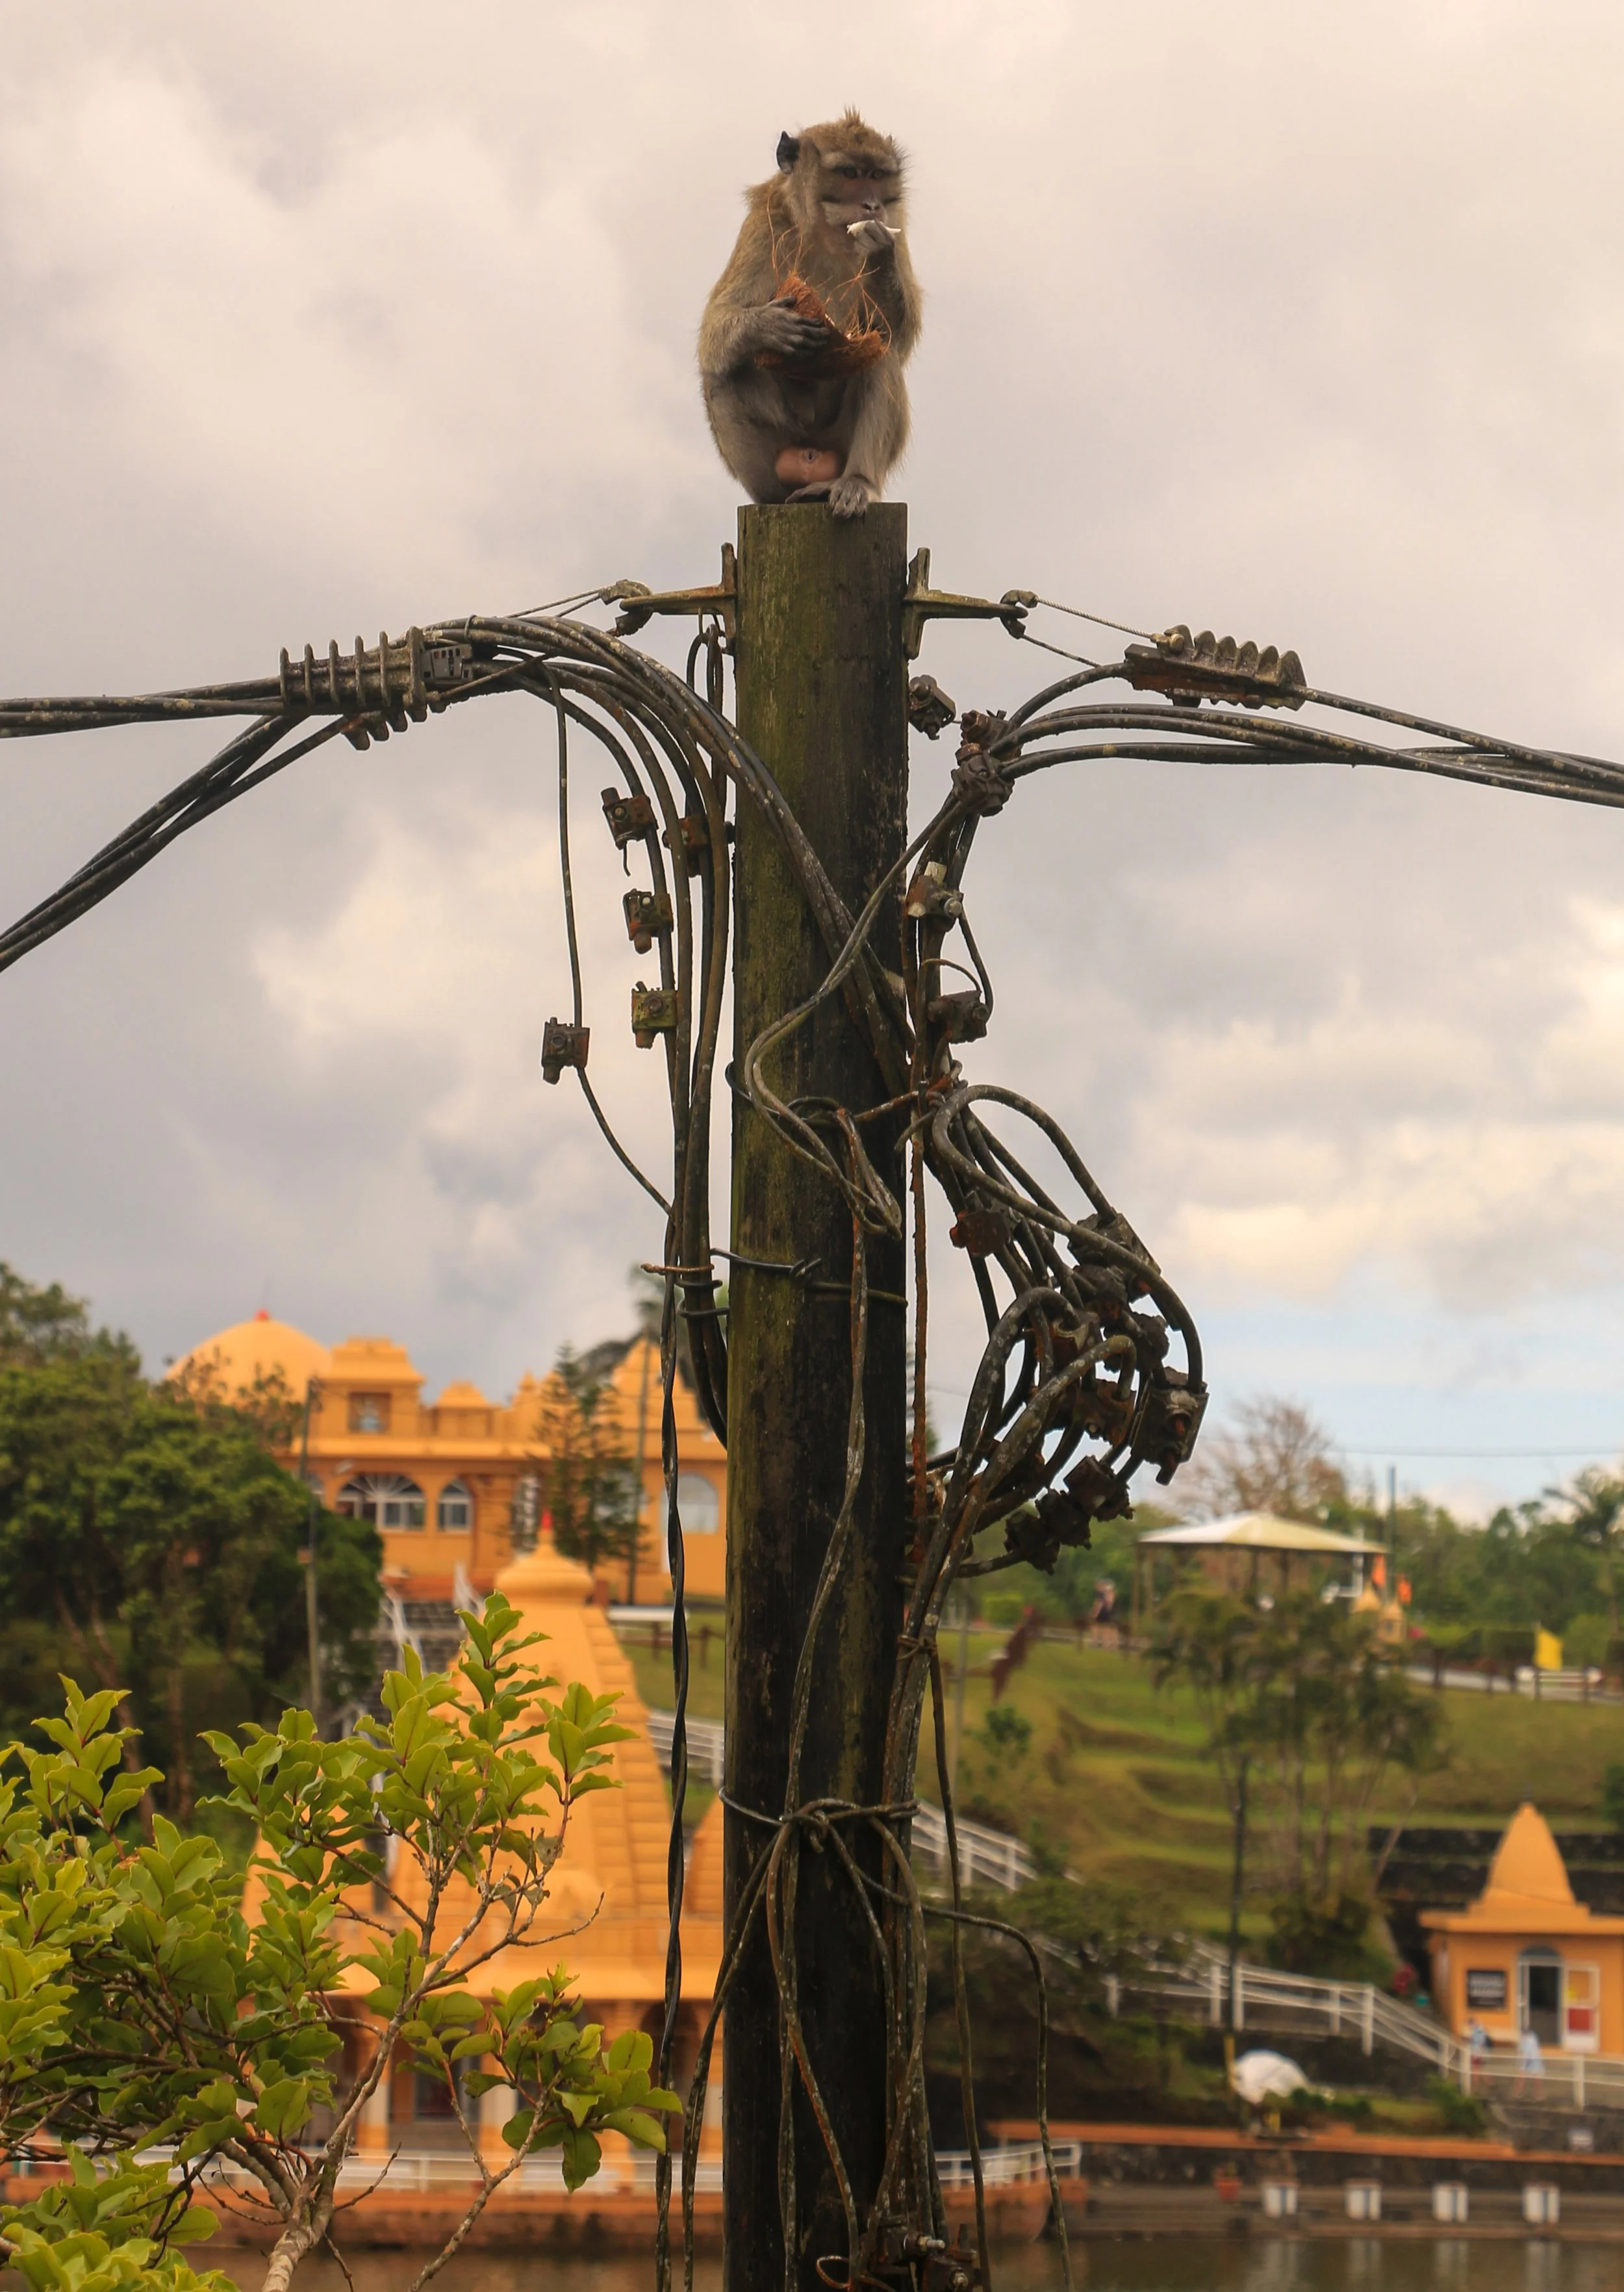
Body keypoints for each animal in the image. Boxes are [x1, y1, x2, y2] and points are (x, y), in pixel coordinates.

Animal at [699, 112, 922, 518]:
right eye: (849, 173)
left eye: (876, 175)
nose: (871, 206)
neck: (830, 234)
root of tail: (812, 454)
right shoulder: (763, 227)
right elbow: (716, 324)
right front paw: (768, 326)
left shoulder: (899, 223)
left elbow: (897, 333)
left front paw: (878, 251)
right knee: (722, 373)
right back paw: (773, 496)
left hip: (839, 444)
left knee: (881, 351)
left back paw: (855, 483)